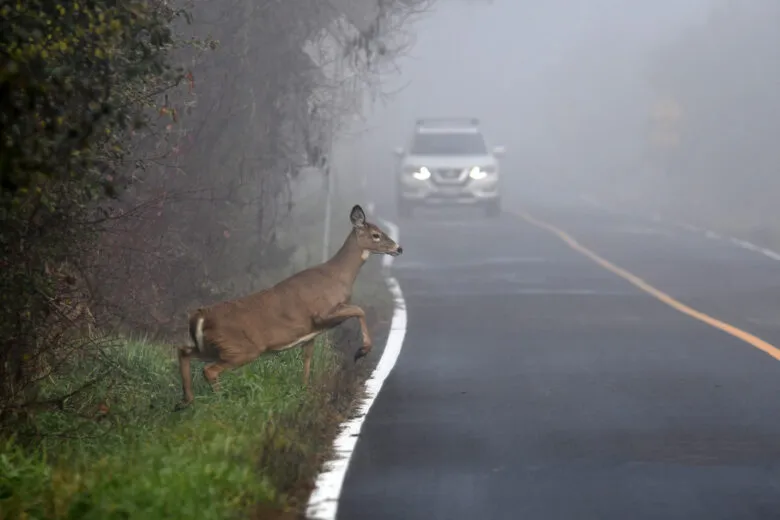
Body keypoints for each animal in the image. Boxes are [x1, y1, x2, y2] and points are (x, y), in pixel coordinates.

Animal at [174, 204, 402, 410]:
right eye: (376, 235)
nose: (398, 248)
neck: (338, 276)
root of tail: (200, 317)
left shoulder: (311, 333)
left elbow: (307, 359)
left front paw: (305, 392)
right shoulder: (321, 313)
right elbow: (359, 310)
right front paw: (361, 351)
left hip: (213, 347)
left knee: (184, 351)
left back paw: (186, 402)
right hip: (241, 348)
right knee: (209, 370)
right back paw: (220, 403)